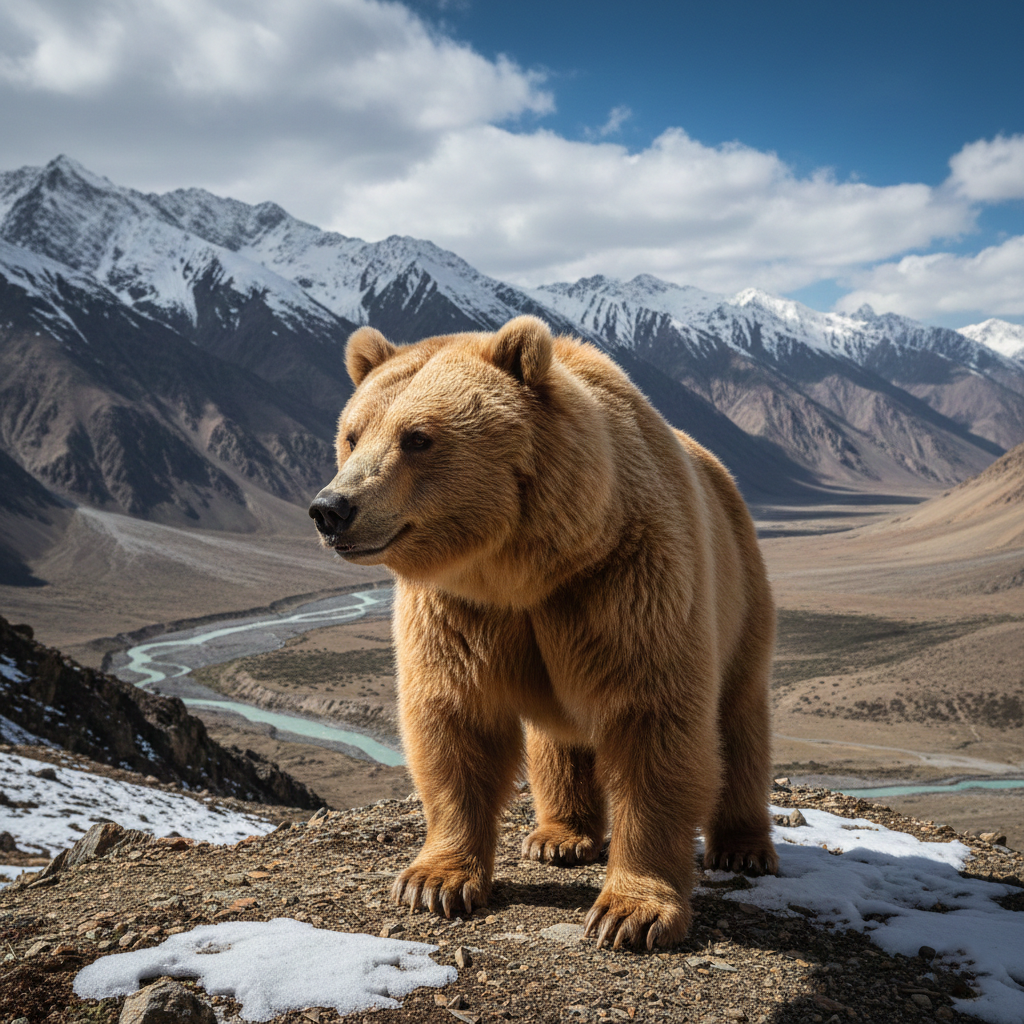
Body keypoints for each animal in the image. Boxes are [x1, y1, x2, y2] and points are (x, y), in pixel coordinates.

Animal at [308, 315, 778, 950]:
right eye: (353, 435)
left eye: (417, 437)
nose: (332, 508)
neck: (526, 567)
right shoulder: (459, 611)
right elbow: (454, 724)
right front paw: (432, 881)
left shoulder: (626, 580)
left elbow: (653, 725)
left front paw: (630, 913)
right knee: (557, 735)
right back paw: (559, 835)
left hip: (741, 588)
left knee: (739, 716)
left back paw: (743, 846)